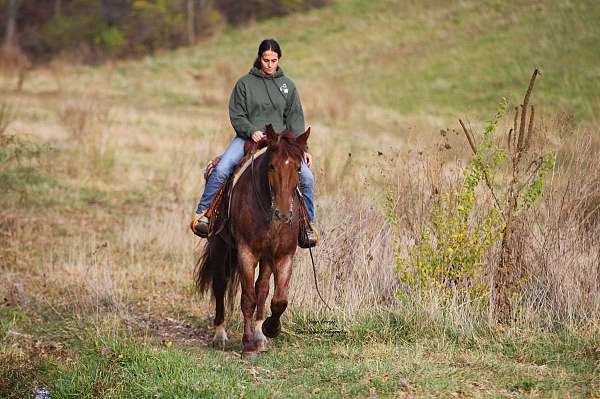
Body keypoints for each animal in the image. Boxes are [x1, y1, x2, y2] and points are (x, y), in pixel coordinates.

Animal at [196, 124, 312, 356]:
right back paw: (220, 335)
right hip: (220, 246)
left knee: (263, 288)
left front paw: (269, 329)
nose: (283, 214)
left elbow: (277, 299)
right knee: (220, 284)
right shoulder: (246, 252)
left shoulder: (284, 255)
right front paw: (248, 345)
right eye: (271, 166)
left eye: (298, 169)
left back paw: (260, 336)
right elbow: (247, 298)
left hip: (265, 258)